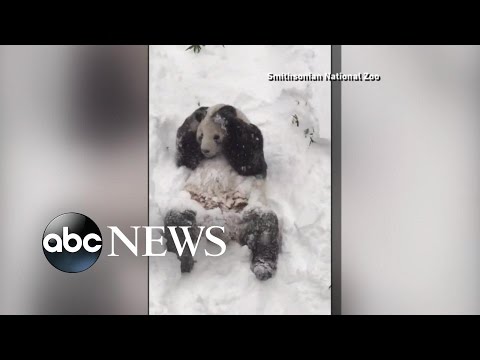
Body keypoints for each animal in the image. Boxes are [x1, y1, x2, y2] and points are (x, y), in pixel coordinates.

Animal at [164, 104, 282, 282]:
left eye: (216, 137)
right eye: (200, 136)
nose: (205, 150)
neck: (220, 152)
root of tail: (222, 230)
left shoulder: (252, 139)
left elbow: (250, 161)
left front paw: (224, 117)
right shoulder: (190, 156)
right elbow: (185, 157)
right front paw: (199, 113)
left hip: (247, 213)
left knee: (266, 226)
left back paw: (263, 267)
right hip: (193, 207)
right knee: (176, 220)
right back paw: (184, 258)